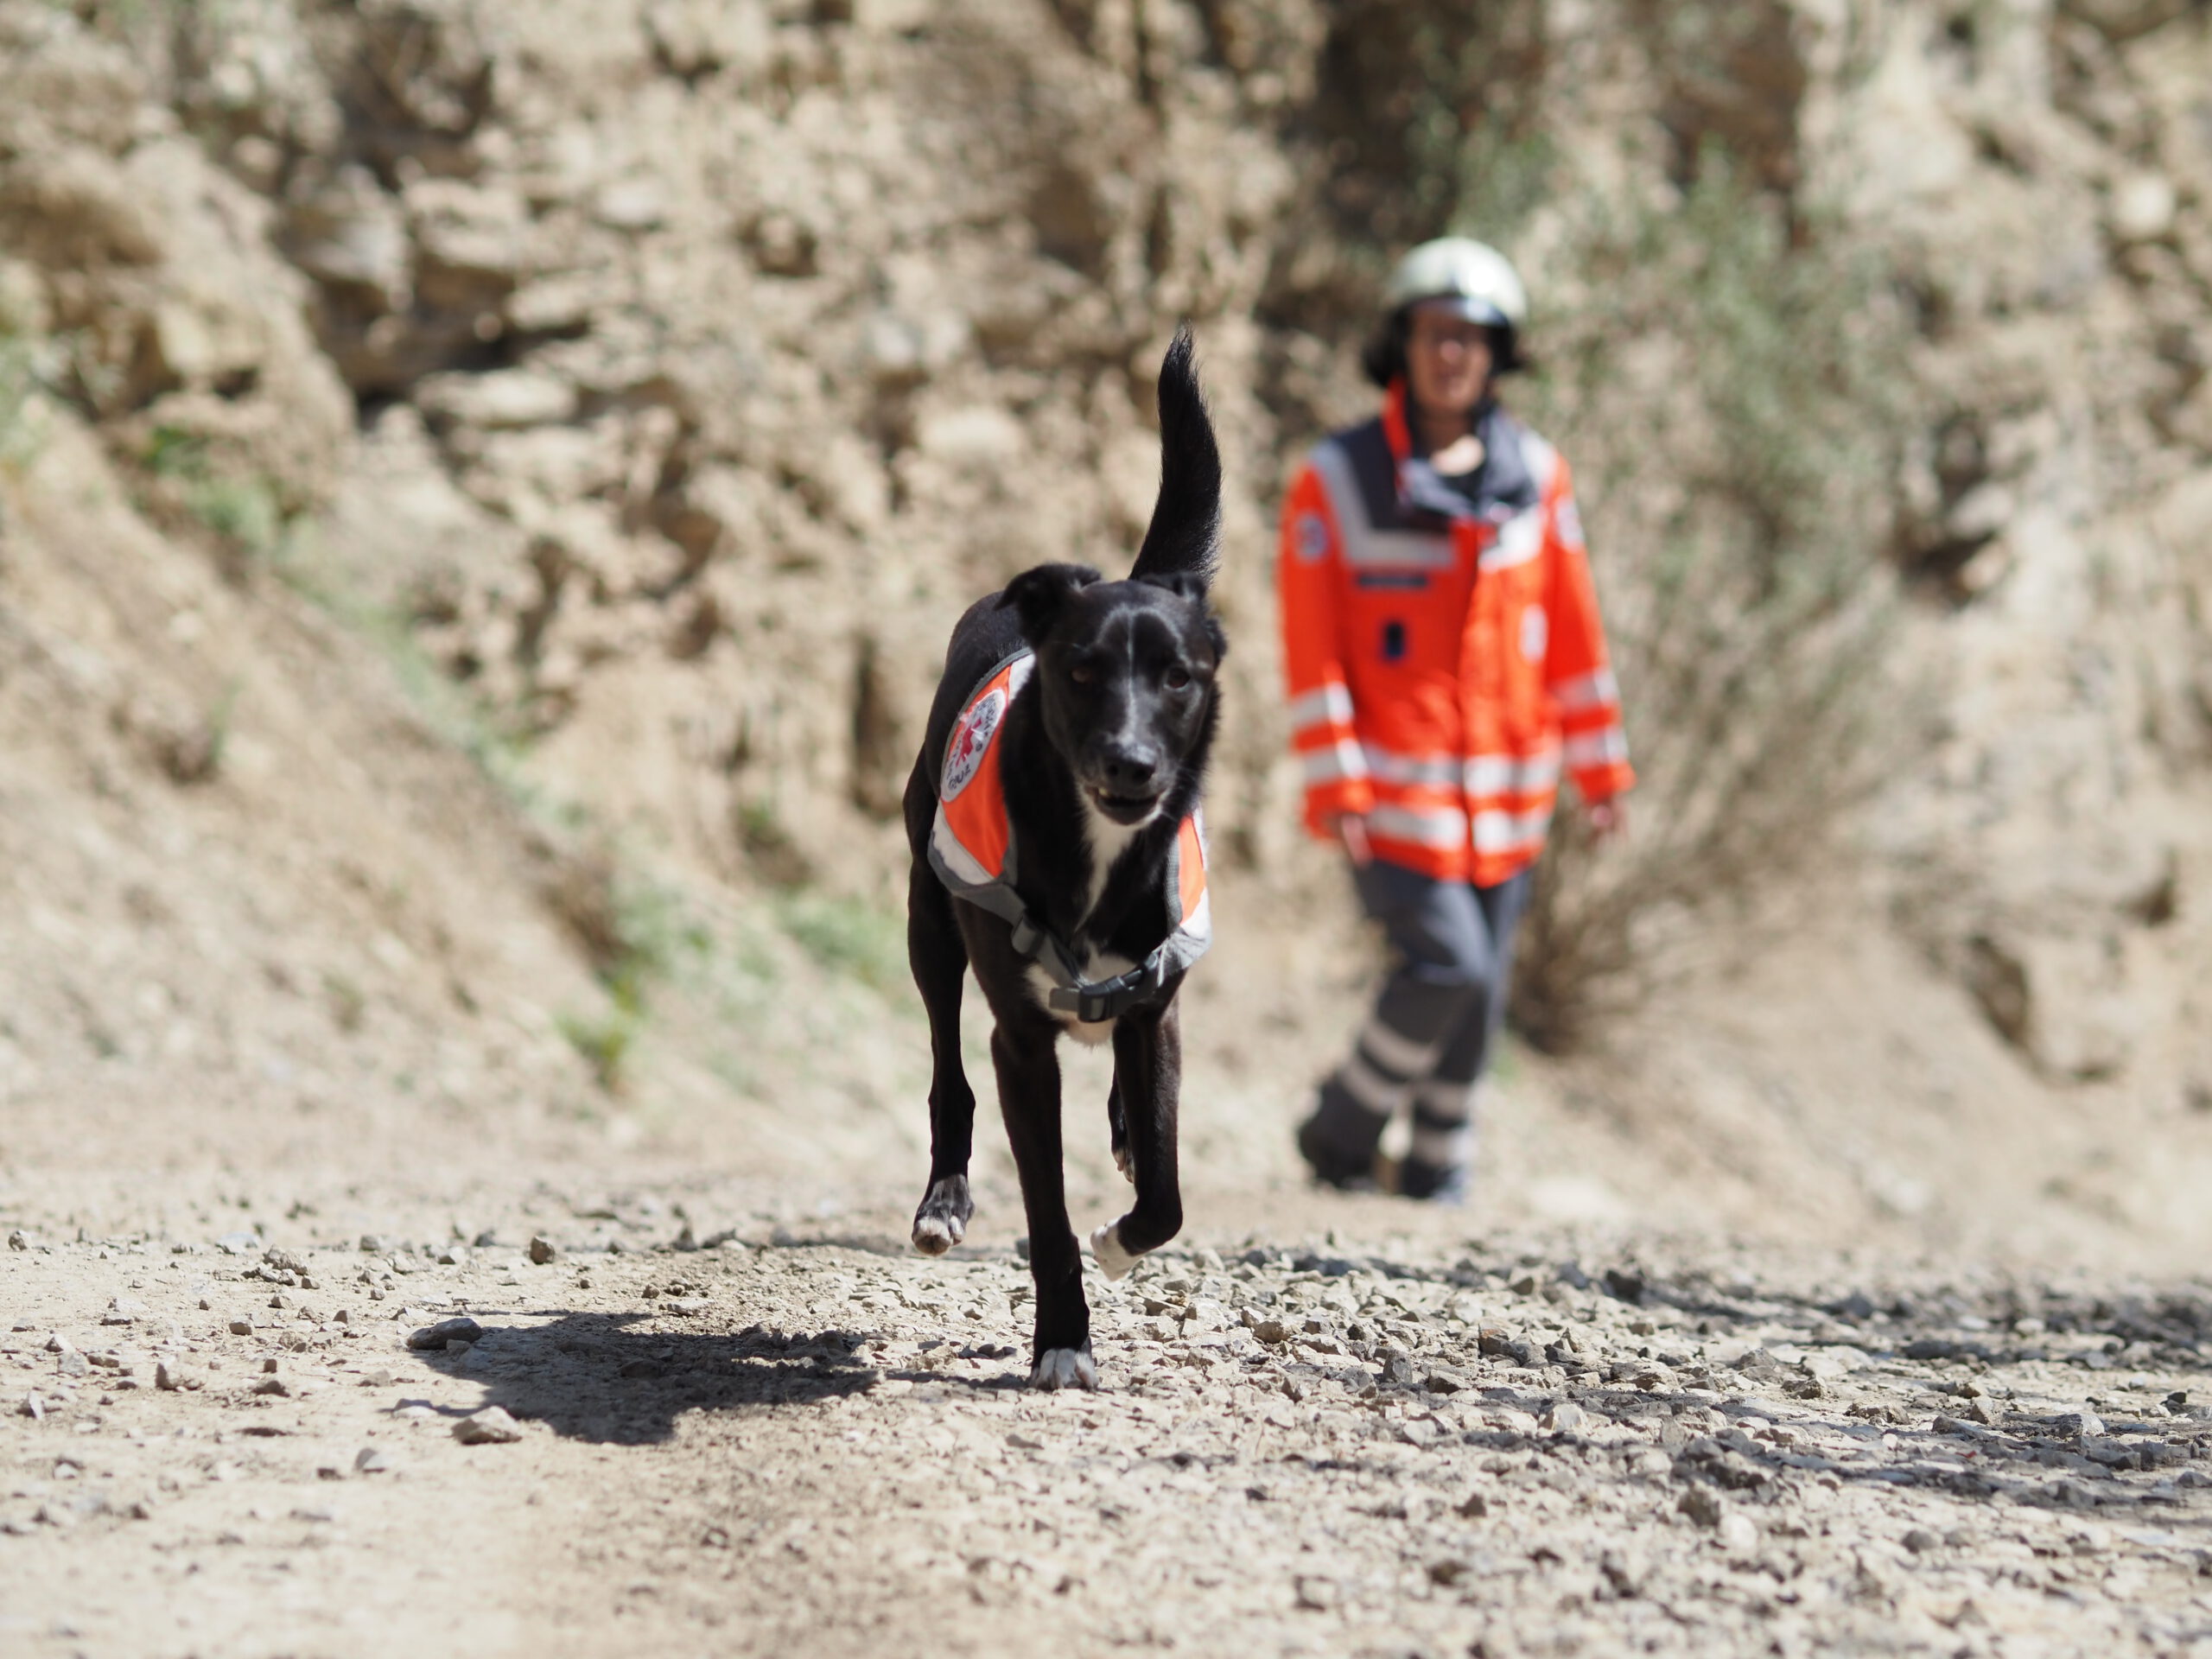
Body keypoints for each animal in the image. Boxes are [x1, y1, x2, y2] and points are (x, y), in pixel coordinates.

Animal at [901, 327, 1226, 1390]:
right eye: (1082, 672)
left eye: (1178, 678)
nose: (1130, 764)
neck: (1097, 849)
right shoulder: (1022, 1044)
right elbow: (1045, 1213)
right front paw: (1063, 1342)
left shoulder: (1160, 1010)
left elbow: (1165, 1193)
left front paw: (1122, 1238)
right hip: (927, 927)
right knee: (946, 1069)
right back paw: (945, 1199)